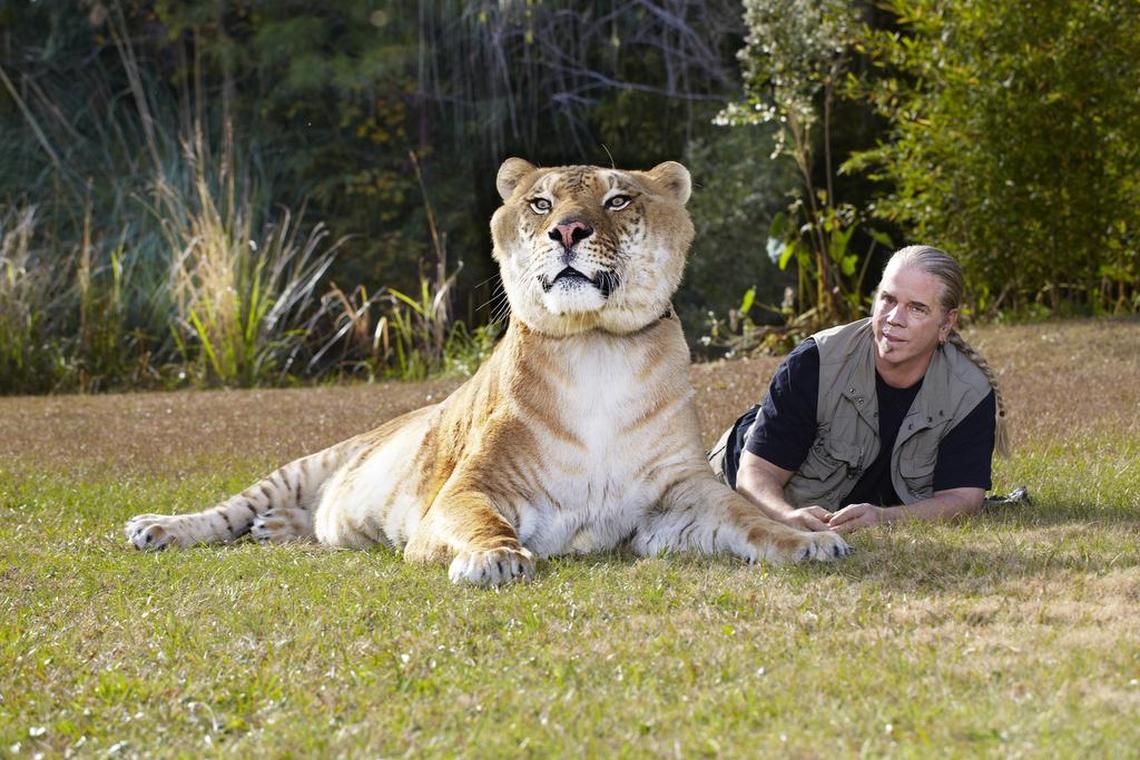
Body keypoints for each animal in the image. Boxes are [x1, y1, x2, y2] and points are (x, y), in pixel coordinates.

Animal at [125, 158, 852, 586]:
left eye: (618, 200)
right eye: (540, 204)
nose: (568, 231)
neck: (598, 352)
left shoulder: (673, 505)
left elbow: (748, 517)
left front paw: (807, 540)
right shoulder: (465, 491)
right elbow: (476, 520)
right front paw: (496, 559)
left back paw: (278, 529)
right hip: (310, 462)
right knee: (227, 510)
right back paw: (159, 528)